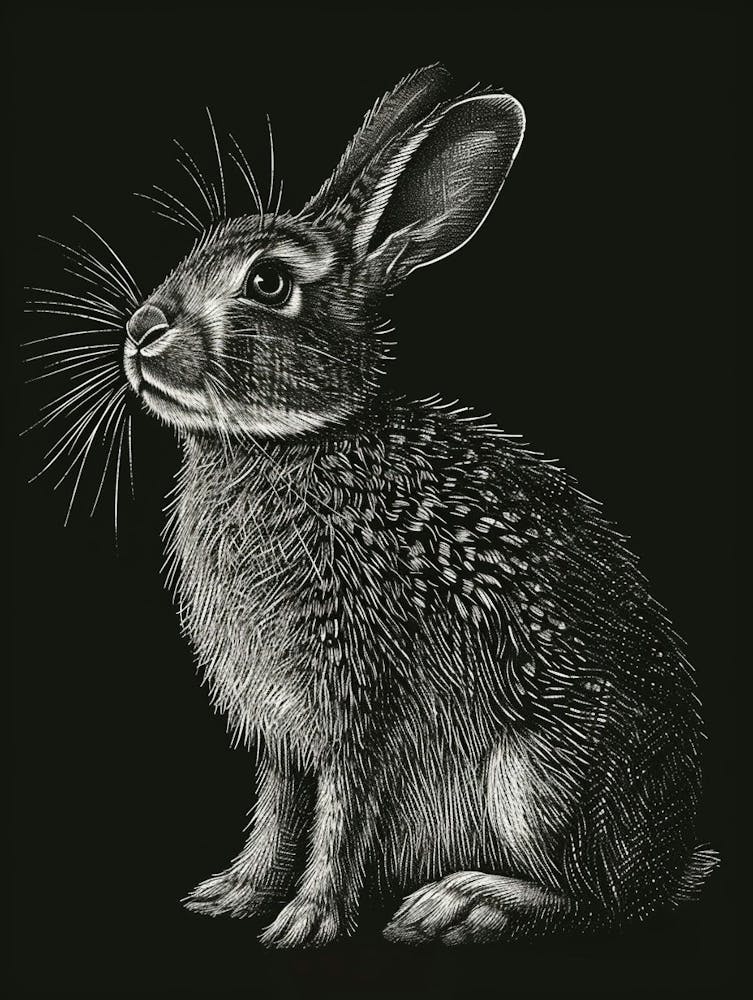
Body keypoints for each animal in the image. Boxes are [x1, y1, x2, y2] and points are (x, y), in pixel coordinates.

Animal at [88, 64, 718, 946]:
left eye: (269, 283)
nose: (143, 329)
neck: (290, 442)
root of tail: (669, 861)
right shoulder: (280, 730)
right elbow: (277, 810)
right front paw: (234, 893)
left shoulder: (361, 700)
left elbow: (341, 816)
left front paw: (307, 921)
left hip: (538, 782)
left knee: (600, 902)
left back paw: (462, 904)